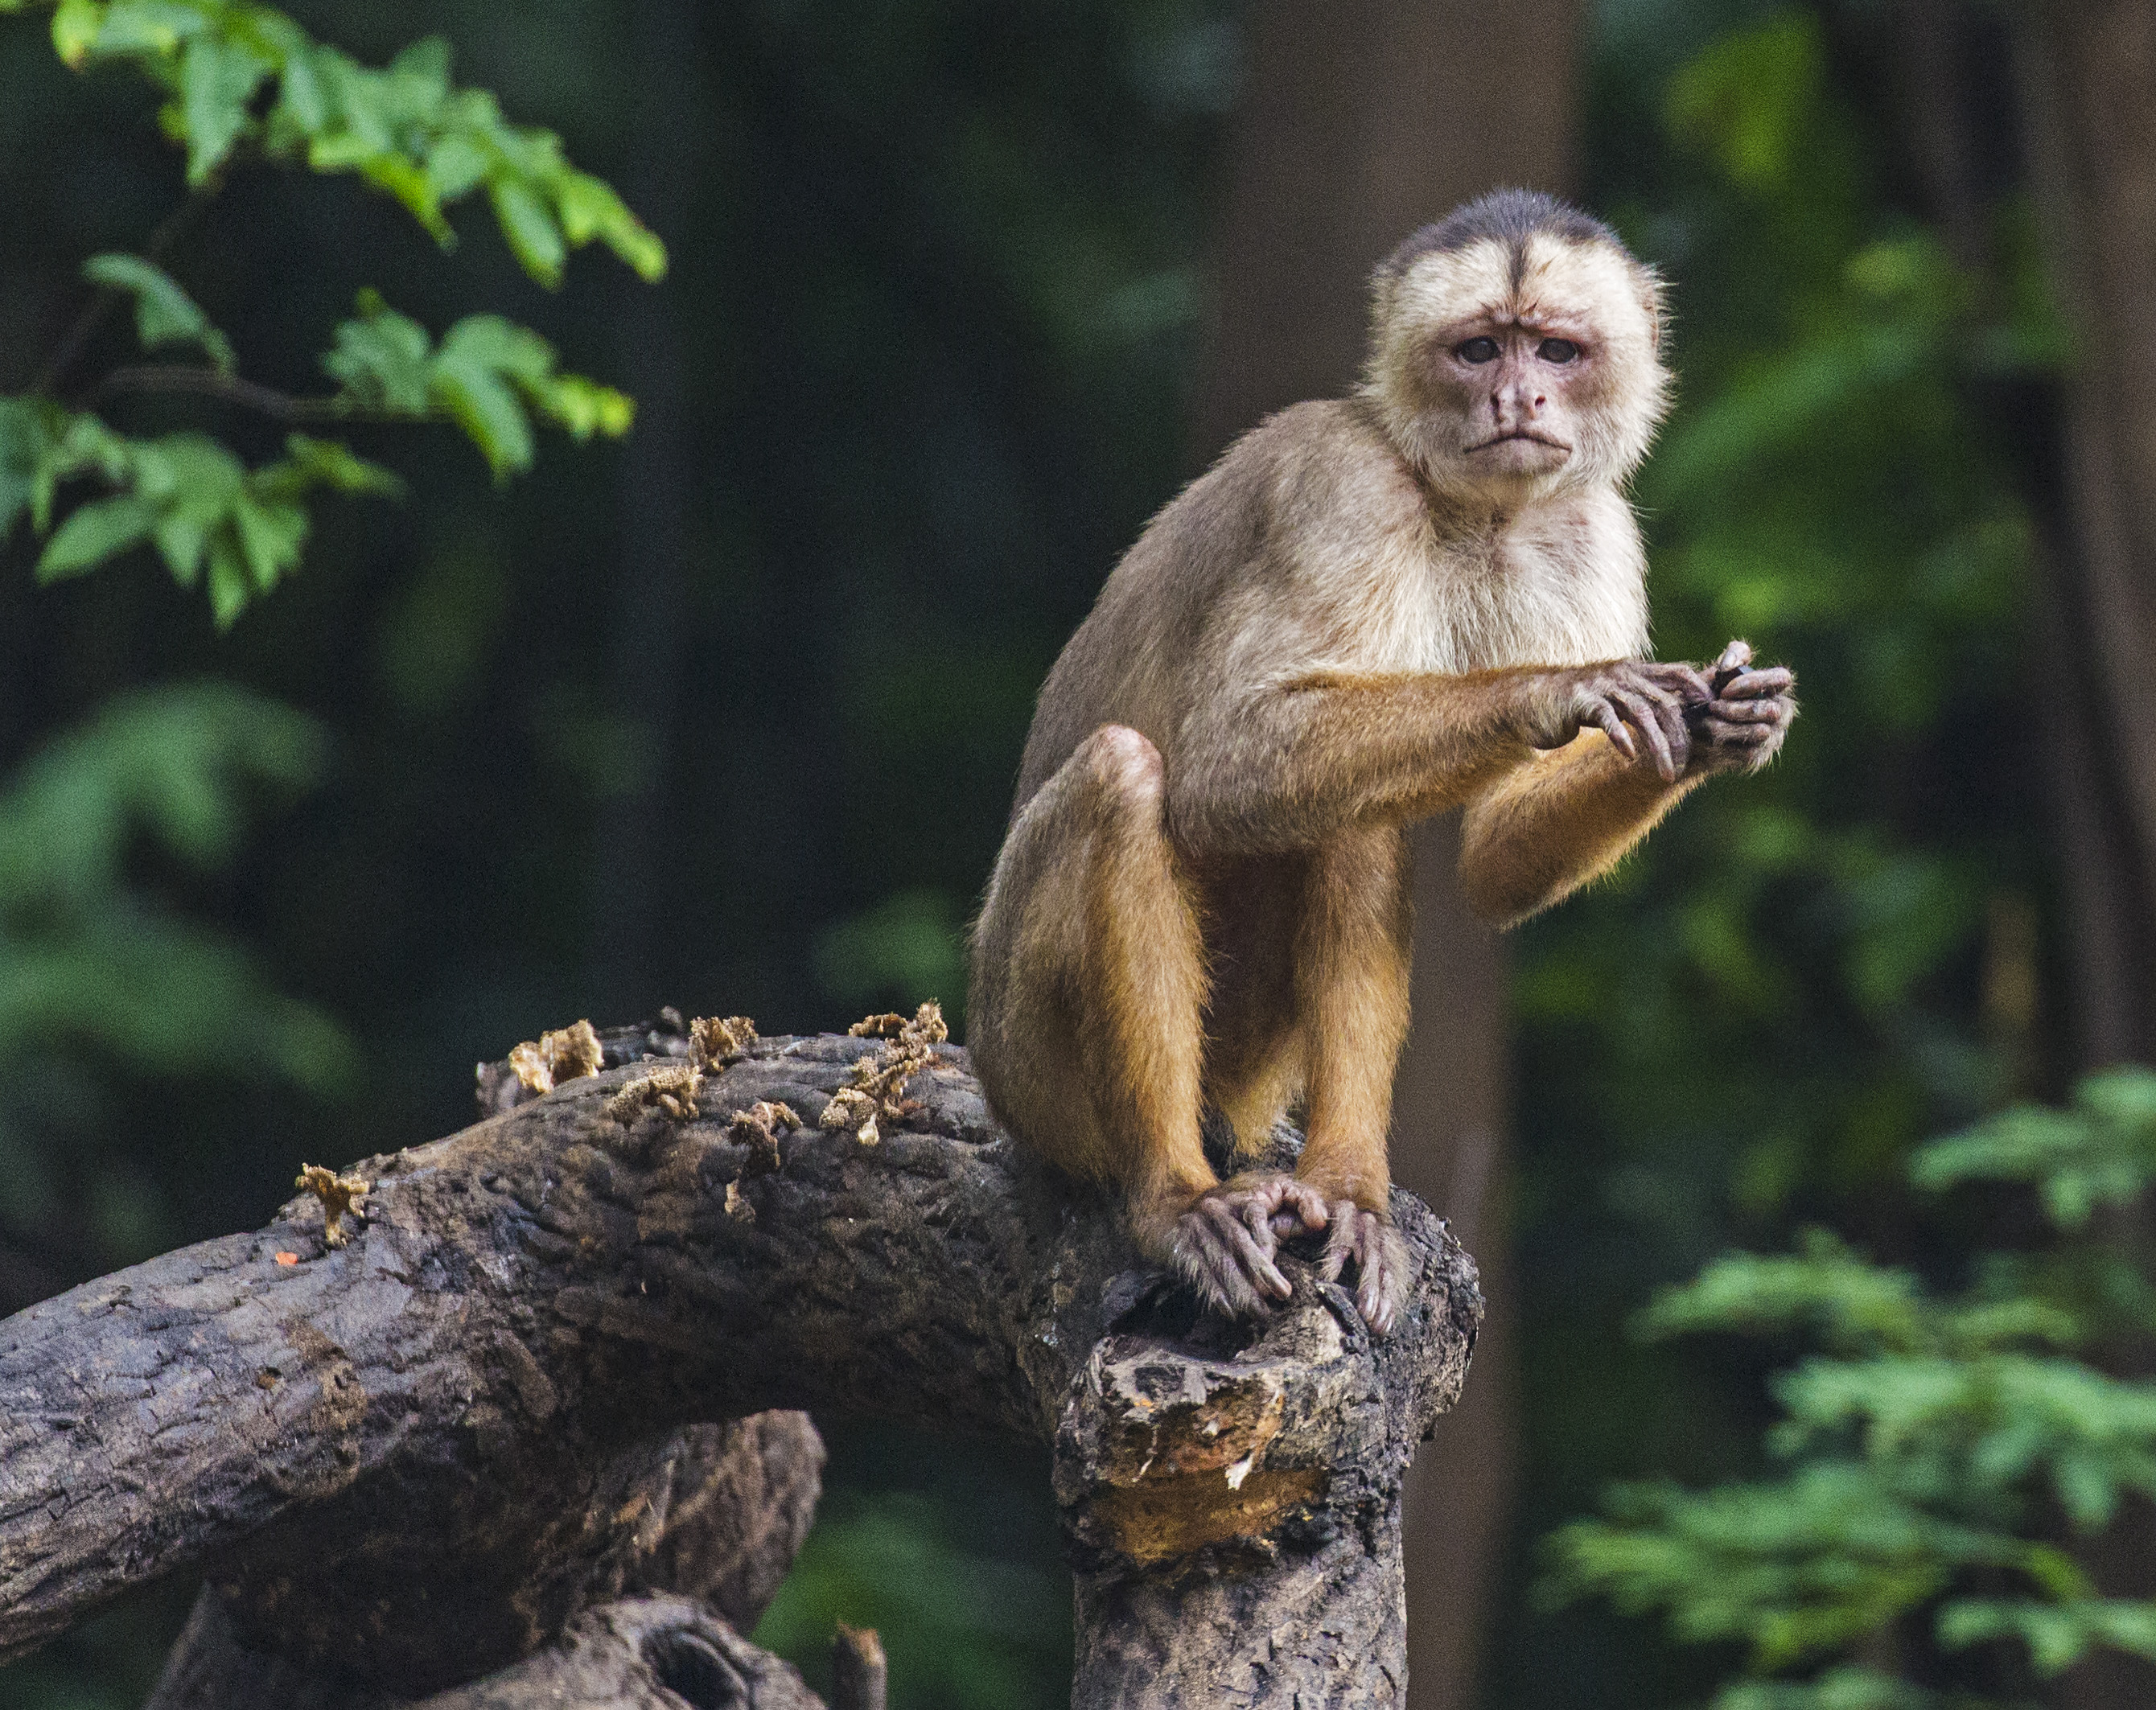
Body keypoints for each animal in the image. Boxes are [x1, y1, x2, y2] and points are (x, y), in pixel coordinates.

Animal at [970, 189, 1793, 1337]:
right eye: (1479, 348)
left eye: (1556, 348)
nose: (1518, 395)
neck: (1466, 504)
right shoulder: (1340, 482)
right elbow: (1228, 760)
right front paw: (1563, 687)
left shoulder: (1588, 529)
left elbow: (1491, 855)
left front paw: (1716, 729)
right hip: (1023, 1067)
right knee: (1127, 776)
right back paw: (1172, 1198)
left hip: (1244, 1064)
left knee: (1352, 815)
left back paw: (1347, 1184)